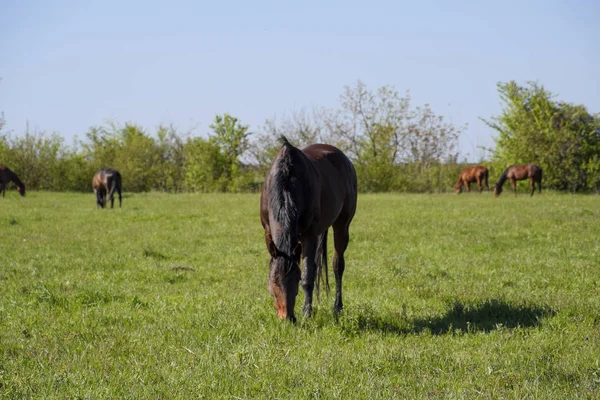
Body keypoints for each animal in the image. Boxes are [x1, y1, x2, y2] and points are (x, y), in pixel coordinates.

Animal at [258, 136, 356, 324]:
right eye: (274, 282)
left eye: (295, 281)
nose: (288, 318)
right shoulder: (268, 231)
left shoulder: (309, 235)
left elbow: (307, 277)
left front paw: (306, 312)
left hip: (342, 225)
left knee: (337, 265)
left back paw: (337, 307)